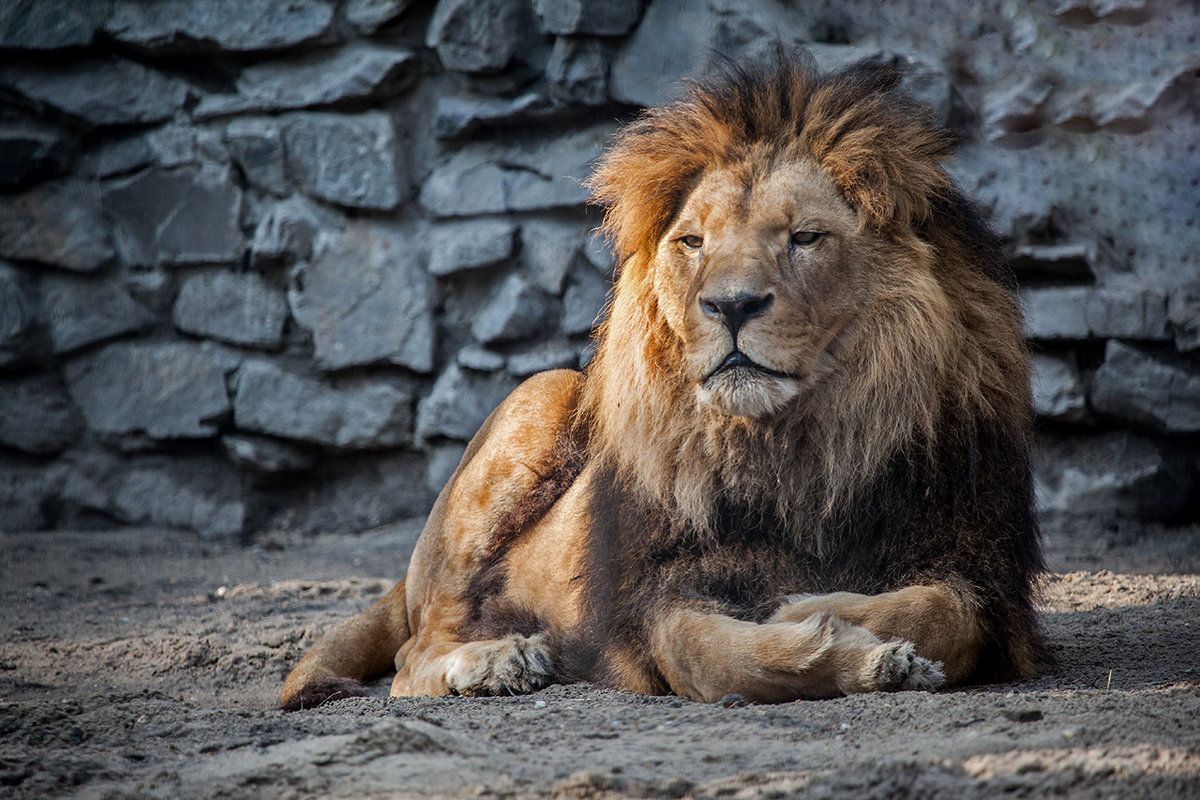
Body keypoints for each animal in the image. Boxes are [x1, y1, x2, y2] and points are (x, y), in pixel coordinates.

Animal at [278, 53, 1041, 710]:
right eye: (692, 243)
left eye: (804, 238)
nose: (731, 305)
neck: (794, 450)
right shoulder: (661, 590)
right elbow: (718, 659)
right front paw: (826, 634)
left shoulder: (974, 556)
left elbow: (944, 613)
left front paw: (834, 617)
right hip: (544, 396)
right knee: (413, 656)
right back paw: (500, 661)